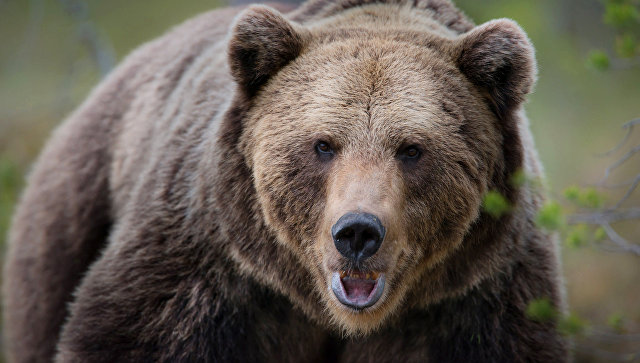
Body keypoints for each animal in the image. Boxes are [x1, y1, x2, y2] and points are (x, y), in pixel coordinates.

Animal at [2, 0, 568, 362]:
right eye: (323, 144)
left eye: (412, 149)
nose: (358, 232)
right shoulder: (209, 273)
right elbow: (134, 336)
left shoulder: (475, 300)